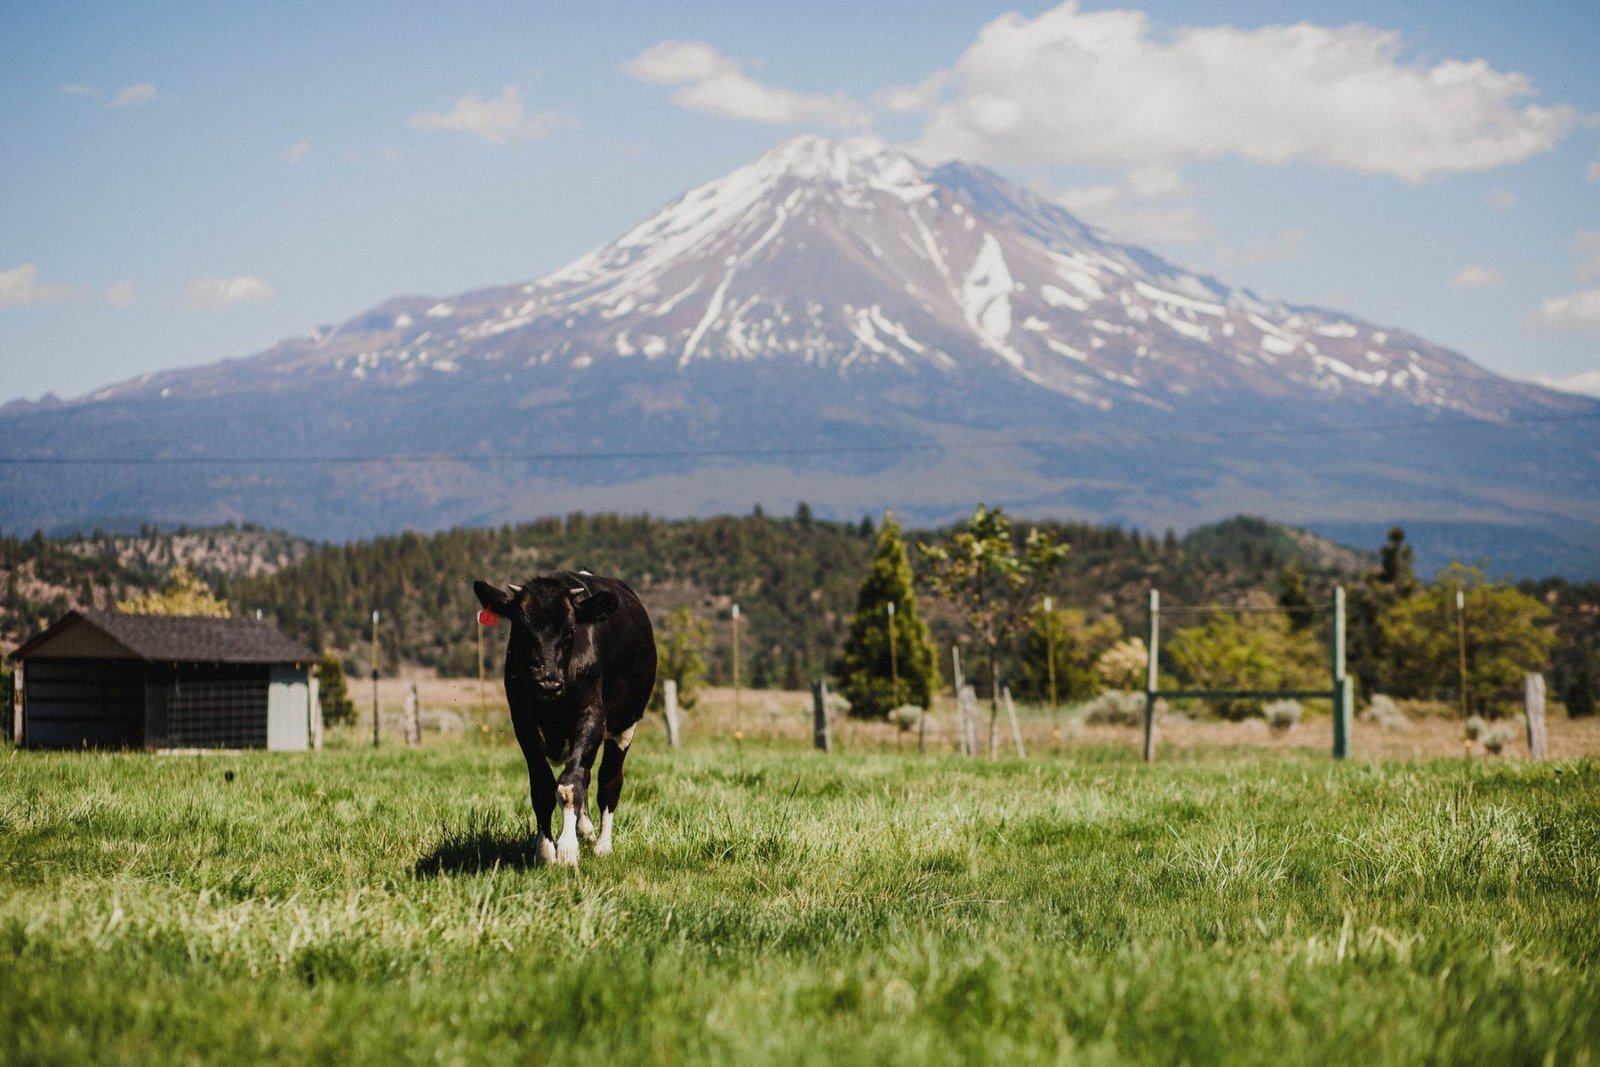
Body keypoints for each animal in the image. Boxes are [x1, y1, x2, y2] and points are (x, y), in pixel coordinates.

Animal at [473, 571, 657, 868]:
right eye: (522, 630)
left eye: (570, 631)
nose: (548, 683)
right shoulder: (523, 721)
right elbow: (543, 786)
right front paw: (545, 850)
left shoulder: (592, 717)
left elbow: (570, 785)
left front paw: (568, 849)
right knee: (586, 776)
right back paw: (586, 830)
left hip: (625, 724)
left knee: (609, 779)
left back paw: (603, 845)